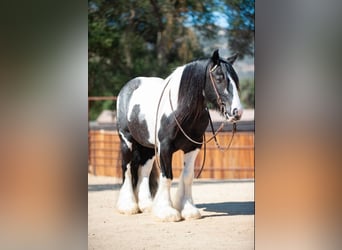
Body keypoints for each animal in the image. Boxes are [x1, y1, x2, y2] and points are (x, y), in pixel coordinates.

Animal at [115, 49, 243, 222]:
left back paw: (147, 205)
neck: (180, 109)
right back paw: (128, 206)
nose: (237, 112)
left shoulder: (193, 147)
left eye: (236, 80)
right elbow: (167, 176)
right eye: (219, 78)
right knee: (127, 168)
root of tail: (128, 88)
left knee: (143, 172)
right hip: (126, 140)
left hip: (147, 148)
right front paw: (167, 212)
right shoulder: (165, 147)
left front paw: (188, 209)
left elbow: (188, 176)